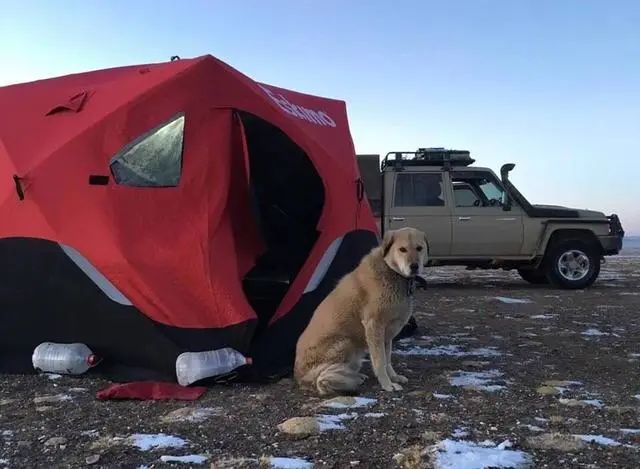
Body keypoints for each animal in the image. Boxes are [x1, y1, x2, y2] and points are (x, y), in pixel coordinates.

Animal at [296, 225, 430, 394]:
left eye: (419, 248)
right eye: (402, 249)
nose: (414, 266)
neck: (392, 272)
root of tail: (299, 377)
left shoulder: (387, 333)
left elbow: (387, 359)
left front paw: (393, 377)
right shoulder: (374, 326)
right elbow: (380, 361)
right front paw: (387, 384)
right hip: (345, 343)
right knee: (325, 376)